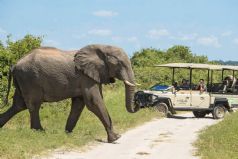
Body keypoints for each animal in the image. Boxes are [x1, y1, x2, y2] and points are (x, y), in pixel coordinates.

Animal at [0, 44, 139, 142]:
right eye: (118, 64)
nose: (138, 101)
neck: (101, 47)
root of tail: (14, 65)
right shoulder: (86, 77)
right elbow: (94, 102)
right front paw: (116, 138)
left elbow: (79, 103)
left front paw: (67, 134)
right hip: (30, 79)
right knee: (33, 105)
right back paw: (40, 132)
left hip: (22, 80)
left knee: (19, 105)